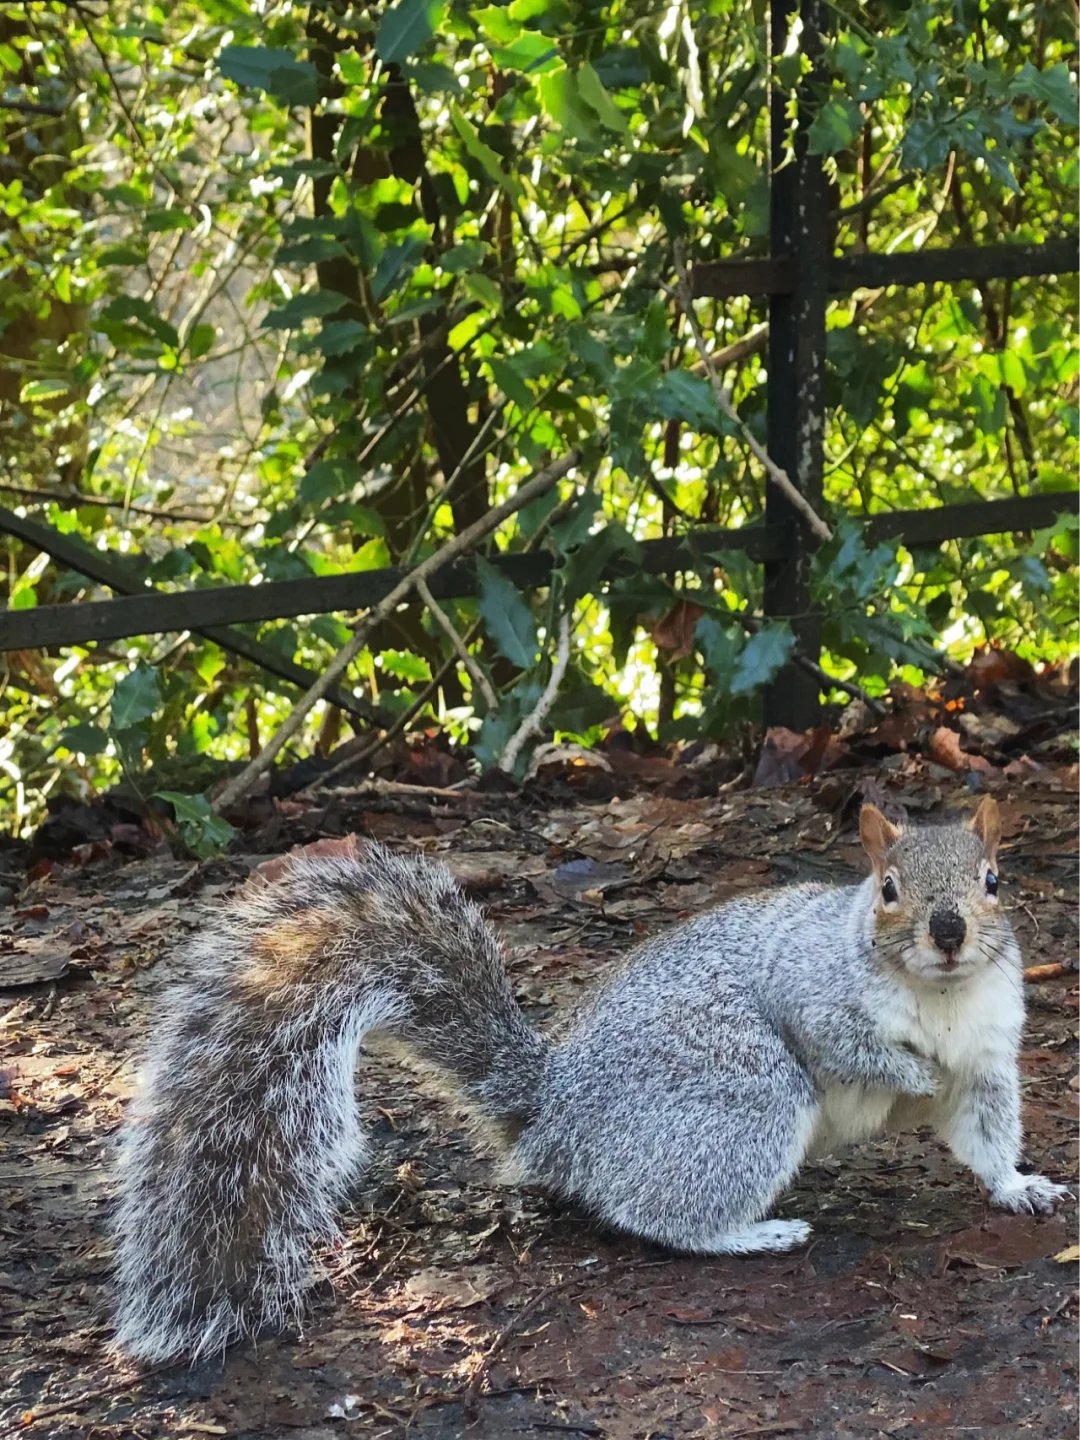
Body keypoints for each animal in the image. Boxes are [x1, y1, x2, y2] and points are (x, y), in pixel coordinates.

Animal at [114, 794, 1071, 1365]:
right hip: (748, 1100)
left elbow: (985, 1135)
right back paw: (752, 1233)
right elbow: (851, 1047)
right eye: (888, 888)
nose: (948, 931)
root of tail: (552, 1113)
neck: (937, 995)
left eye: (994, 878)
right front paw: (906, 1069)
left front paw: (1020, 1187)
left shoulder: (989, 1058)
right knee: (663, 1218)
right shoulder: (815, 1000)